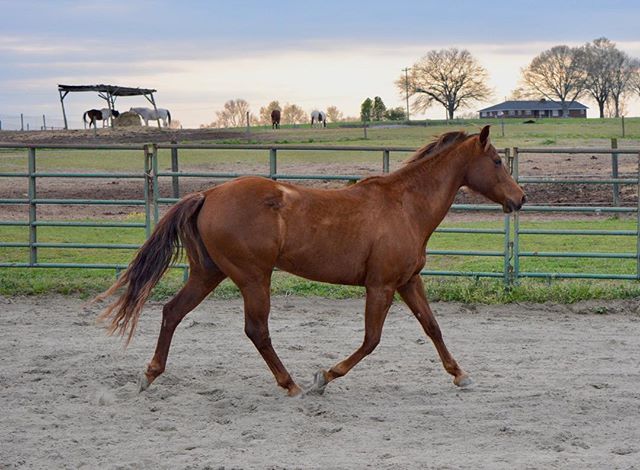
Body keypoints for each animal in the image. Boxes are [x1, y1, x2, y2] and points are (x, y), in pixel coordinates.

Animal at [96, 125, 525, 397]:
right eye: (497, 162)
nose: (520, 199)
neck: (405, 206)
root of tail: (208, 194)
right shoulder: (381, 286)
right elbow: (371, 340)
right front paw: (324, 377)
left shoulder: (407, 281)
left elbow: (433, 328)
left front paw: (462, 376)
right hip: (253, 278)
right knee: (256, 330)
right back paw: (292, 385)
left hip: (209, 273)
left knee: (172, 312)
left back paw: (149, 376)